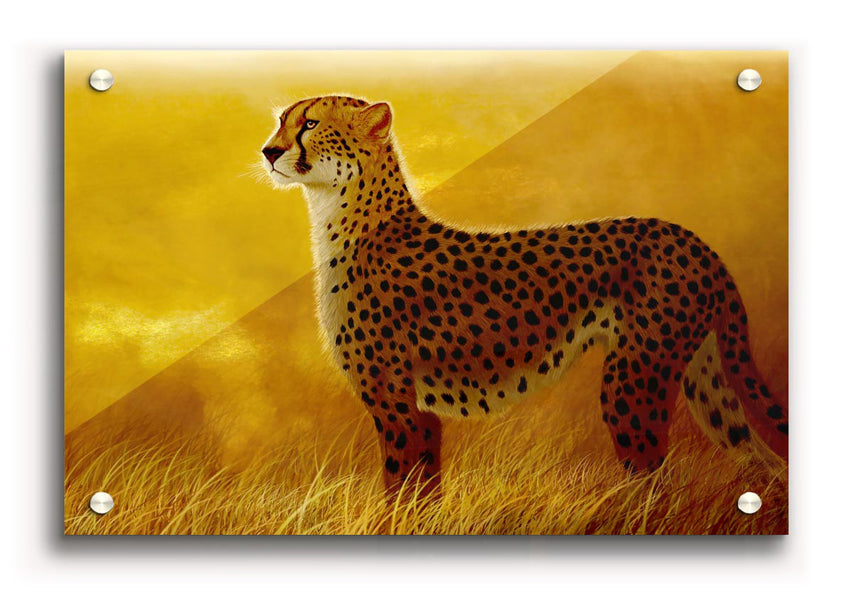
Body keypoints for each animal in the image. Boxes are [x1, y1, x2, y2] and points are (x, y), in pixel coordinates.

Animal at [261, 95, 788, 497]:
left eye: (310, 123)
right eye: (282, 121)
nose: (267, 151)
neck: (345, 215)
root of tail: (691, 237)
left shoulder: (396, 405)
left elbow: (399, 491)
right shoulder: (421, 411)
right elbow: (421, 492)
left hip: (634, 382)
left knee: (655, 477)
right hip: (702, 376)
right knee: (758, 457)